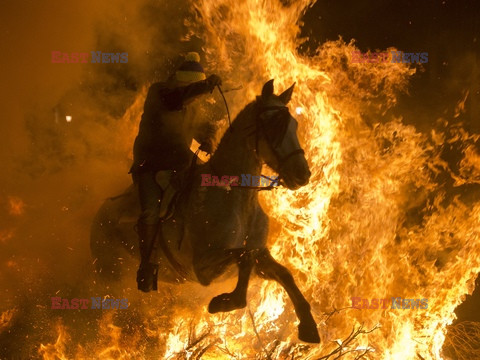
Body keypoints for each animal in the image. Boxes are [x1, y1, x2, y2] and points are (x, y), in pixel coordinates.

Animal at [92, 79, 320, 344]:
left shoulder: (260, 254)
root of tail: (100, 212)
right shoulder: (202, 268)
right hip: (109, 276)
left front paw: (308, 325)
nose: (302, 174)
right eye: (274, 124)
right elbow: (244, 256)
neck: (235, 196)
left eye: (294, 124)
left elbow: (282, 272)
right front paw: (226, 301)